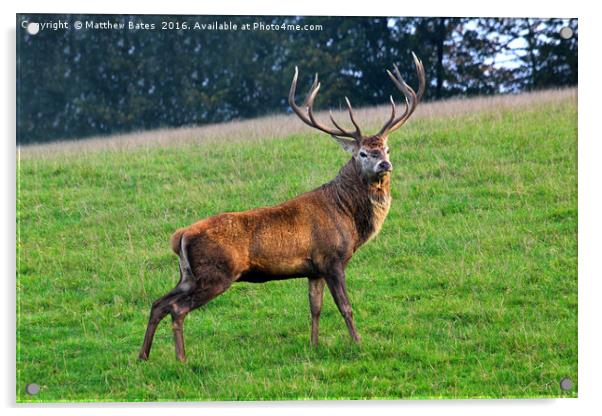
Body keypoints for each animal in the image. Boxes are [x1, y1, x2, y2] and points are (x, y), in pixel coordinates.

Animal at [138, 53, 424, 362]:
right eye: (362, 153)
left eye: (386, 148)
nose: (384, 164)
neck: (347, 216)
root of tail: (180, 236)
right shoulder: (332, 258)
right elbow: (345, 306)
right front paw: (358, 343)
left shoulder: (314, 269)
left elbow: (315, 308)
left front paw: (314, 345)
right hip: (217, 272)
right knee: (177, 308)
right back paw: (181, 359)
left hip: (188, 274)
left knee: (158, 303)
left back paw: (143, 357)